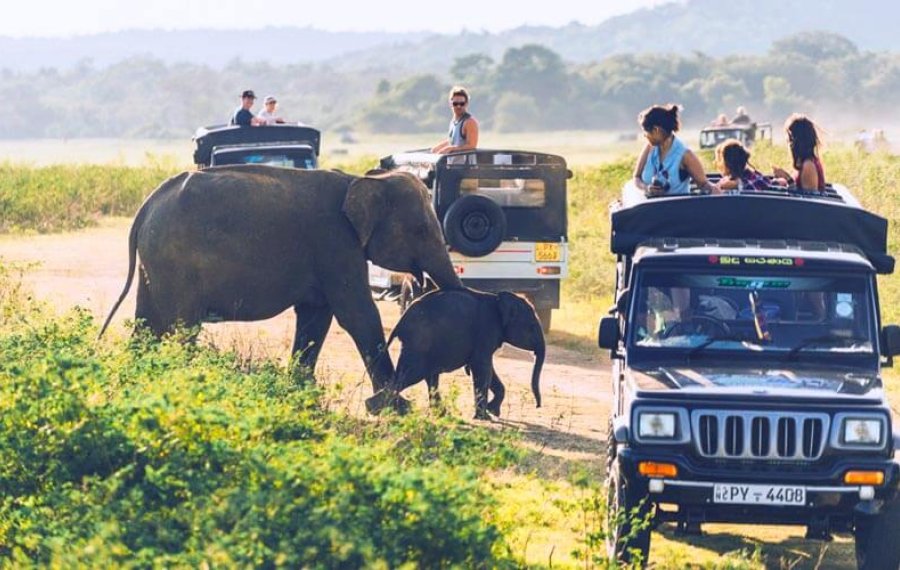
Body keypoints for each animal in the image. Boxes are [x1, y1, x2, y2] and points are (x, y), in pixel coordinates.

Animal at [99, 164, 464, 394]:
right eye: (421, 230)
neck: (364, 179)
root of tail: (147, 205)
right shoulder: (335, 242)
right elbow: (357, 315)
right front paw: (392, 406)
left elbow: (316, 316)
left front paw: (302, 391)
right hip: (176, 261)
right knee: (181, 325)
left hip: (156, 262)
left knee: (147, 321)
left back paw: (138, 379)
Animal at [384, 288, 540, 418]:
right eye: (532, 327)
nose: (538, 406)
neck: (498, 300)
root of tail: (400, 322)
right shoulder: (486, 330)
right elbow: (482, 368)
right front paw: (484, 417)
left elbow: (487, 369)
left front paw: (492, 412)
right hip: (418, 343)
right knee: (409, 376)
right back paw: (386, 407)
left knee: (428, 377)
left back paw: (440, 413)